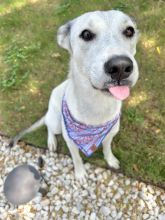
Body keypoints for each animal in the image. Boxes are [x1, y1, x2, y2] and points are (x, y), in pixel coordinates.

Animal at [10, 9, 139, 182]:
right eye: (86, 34)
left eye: (129, 31)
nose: (121, 67)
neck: (97, 105)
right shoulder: (71, 142)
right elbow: (77, 158)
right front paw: (80, 173)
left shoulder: (110, 134)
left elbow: (107, 148)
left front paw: (110, 160)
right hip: (57, 123)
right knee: (49, 127)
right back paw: (51, 142)